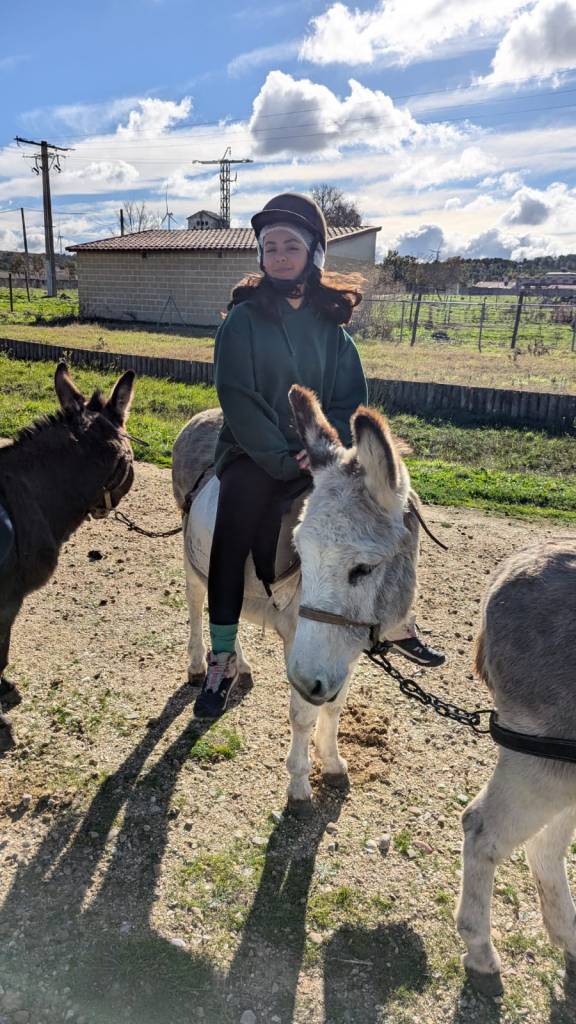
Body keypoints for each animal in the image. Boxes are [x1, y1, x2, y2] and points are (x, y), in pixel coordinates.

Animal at [172, 384, 420, 814]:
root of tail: (204, 415)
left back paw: (239, 664)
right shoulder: (301, 644)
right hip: (195, 562)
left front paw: (333, 762)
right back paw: (202, 666)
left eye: (363, 569)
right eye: (299, 553)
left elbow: (334, 705)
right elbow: (303, 714)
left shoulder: (346, 647)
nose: (309, 682)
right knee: (198, 605)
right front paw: (300, 784)